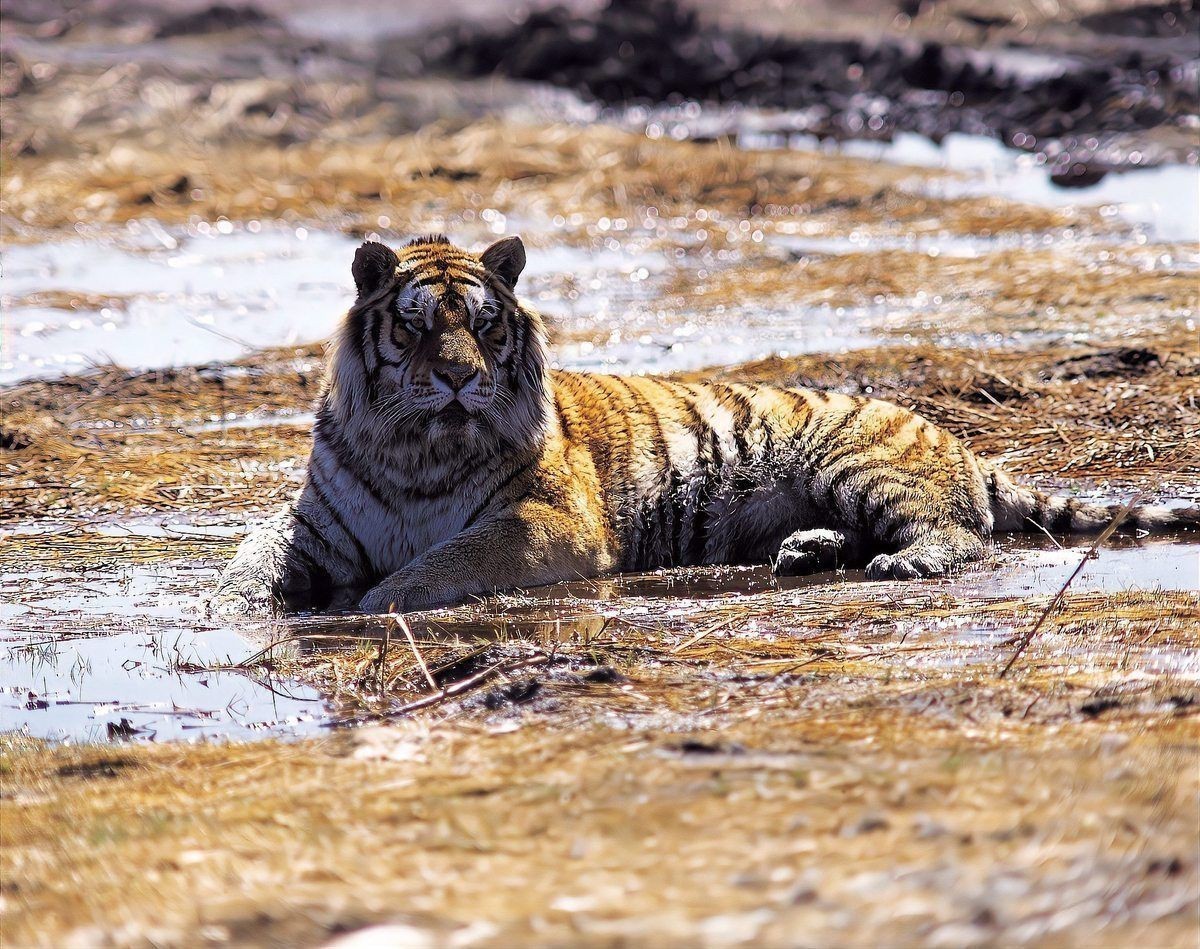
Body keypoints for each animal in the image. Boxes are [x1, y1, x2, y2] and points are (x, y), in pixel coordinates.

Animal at [210, 234, 1198, 616]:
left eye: (484, 326)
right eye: (417, 325)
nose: (459, 377)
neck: (420, 450)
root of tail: (953, 435)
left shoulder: (545, 521)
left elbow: (444, 560)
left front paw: (375, 601)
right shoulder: (313, 522)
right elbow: (250, 557)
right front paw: (232, 603)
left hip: (859, 462)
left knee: (964, 532)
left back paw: (902, 561)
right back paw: (804, 550)